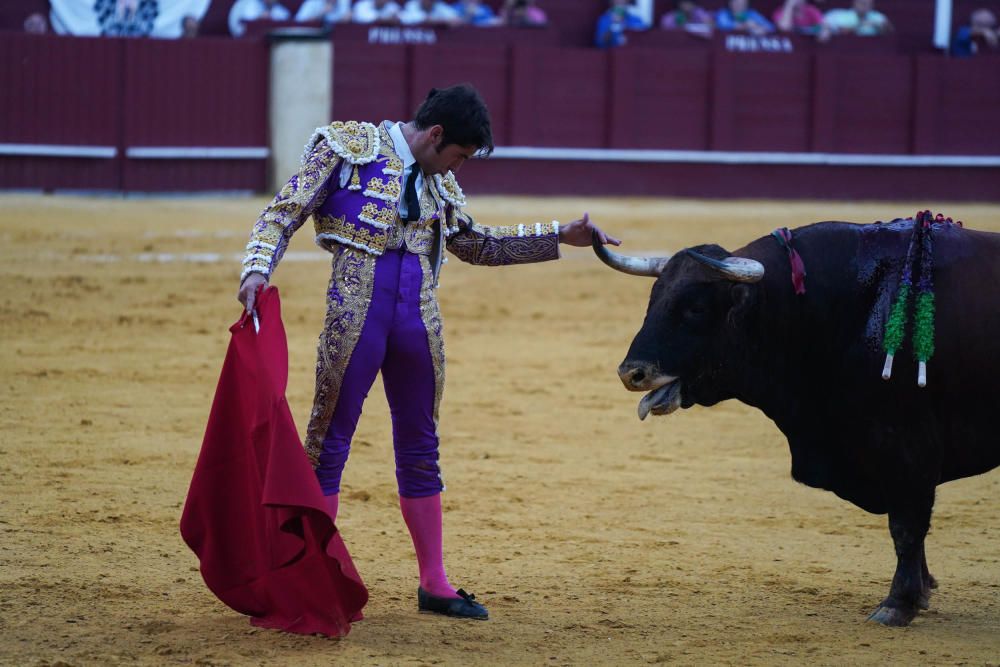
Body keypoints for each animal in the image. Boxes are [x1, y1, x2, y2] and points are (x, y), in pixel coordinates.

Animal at [592, 219, 1000, 628]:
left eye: (695, 308)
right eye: (653, 299)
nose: (632, 373)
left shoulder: (907, 447)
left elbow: (906, 525)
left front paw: (898, 604)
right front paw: (922, 589)